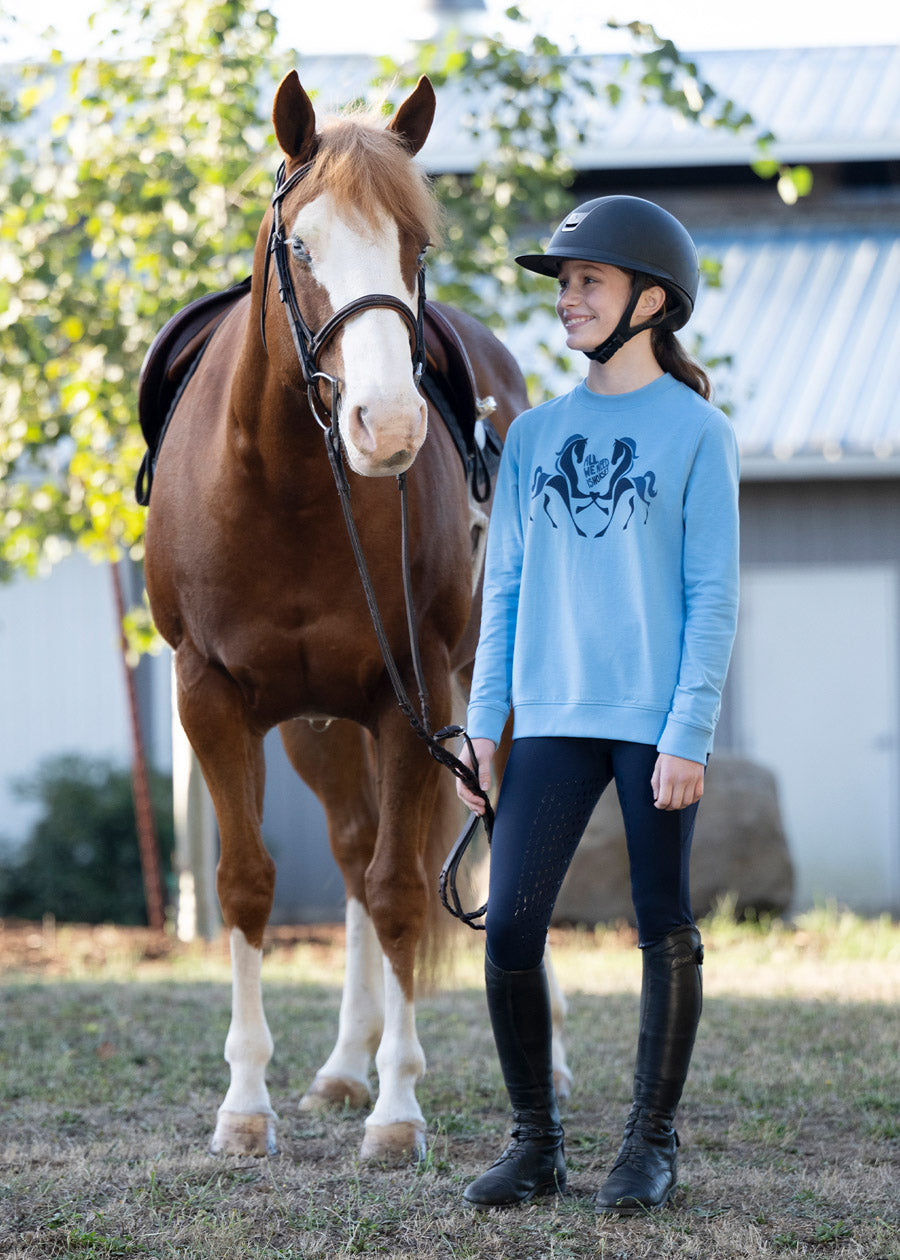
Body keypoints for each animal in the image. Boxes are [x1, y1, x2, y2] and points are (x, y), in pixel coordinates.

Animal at [143, 70, 558, 1165]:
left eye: (414, 246)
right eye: (300, 245)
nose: (391, 425)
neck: (287, 488)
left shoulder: (414, 692)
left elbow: (401, 888)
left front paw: (398, 1111)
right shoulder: (212, 697)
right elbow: (251, 882)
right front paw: (246, 1104)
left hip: (480, 703)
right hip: (322, 729)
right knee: (354, 844)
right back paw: (340, 1063)